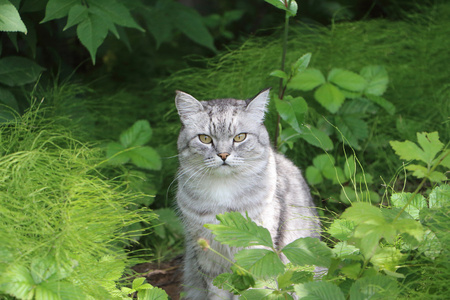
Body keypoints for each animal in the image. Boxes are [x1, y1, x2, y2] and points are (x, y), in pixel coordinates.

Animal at [175, 89, 320, 300]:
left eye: (239, 137)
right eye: (205, 139)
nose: (223, 155)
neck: (223, 189)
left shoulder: (254, 252)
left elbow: (252, 291)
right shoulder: (209, 259)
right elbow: (217, 293)